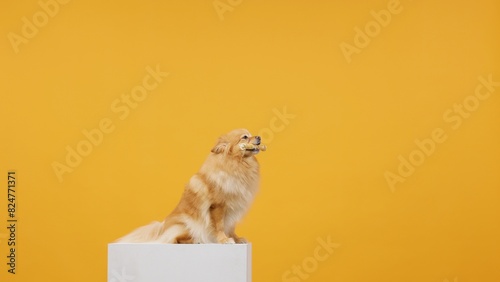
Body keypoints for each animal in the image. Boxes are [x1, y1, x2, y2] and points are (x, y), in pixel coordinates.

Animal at [116, 129, 266, 243]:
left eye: (251, 134)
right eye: (245, 137)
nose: (259, 137)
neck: (238, 166)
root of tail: (161, 227)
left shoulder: (233, 208)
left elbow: (230, 227)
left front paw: (236, 239)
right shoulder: (218, 206)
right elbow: (219, 226)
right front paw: (224, 240)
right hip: (187, 226)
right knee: (175, 240)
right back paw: (197, 240)